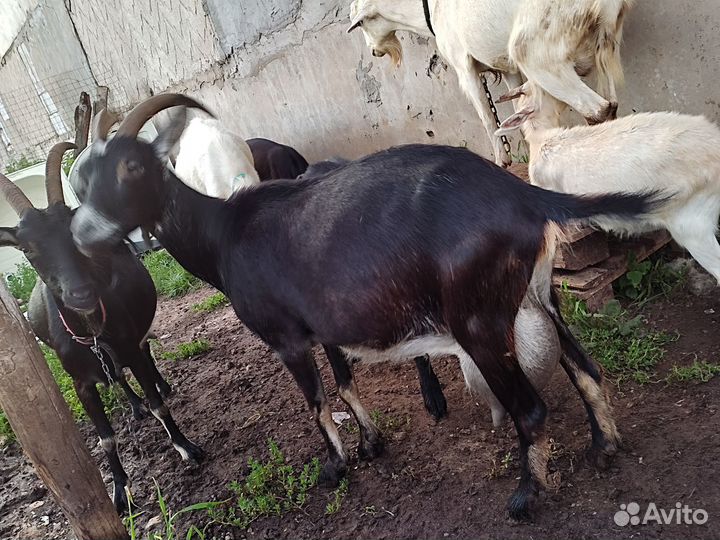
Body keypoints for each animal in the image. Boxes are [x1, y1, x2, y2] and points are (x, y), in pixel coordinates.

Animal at [0, 143, 203, 514]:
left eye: (73, 228)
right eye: (27, 248)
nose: (80, 293)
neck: (91, 331)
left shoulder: (128, 347)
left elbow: (158, 405)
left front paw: (187, 448)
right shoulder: (80, 383)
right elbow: (105, 438)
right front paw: (120, 491)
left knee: (144, 354)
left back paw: (160, 386)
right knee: (117, 377)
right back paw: (134, 406)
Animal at [71, 95, 655, 519]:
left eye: (132, 166)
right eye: (81, 178)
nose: (82, 233)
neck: (223, 234)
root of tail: (523, 197)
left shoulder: (286, 338)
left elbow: (315, 402)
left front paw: (336, 467)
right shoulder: (322, 325)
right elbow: (346, 381)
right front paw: (371, 442)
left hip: (479, 320)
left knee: (529, 408)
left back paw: (526, 496)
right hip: (539, 294)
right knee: (585, 367)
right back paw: (604, 448)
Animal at [347, 0, 632, 166]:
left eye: (361, 24)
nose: (374, 52)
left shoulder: (464, 68)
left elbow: (485, 116)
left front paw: (502, 160)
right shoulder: (508, 68)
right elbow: (516, 109)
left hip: (537, 54)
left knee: (597, 109)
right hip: (605, 42)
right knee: (611, 103)